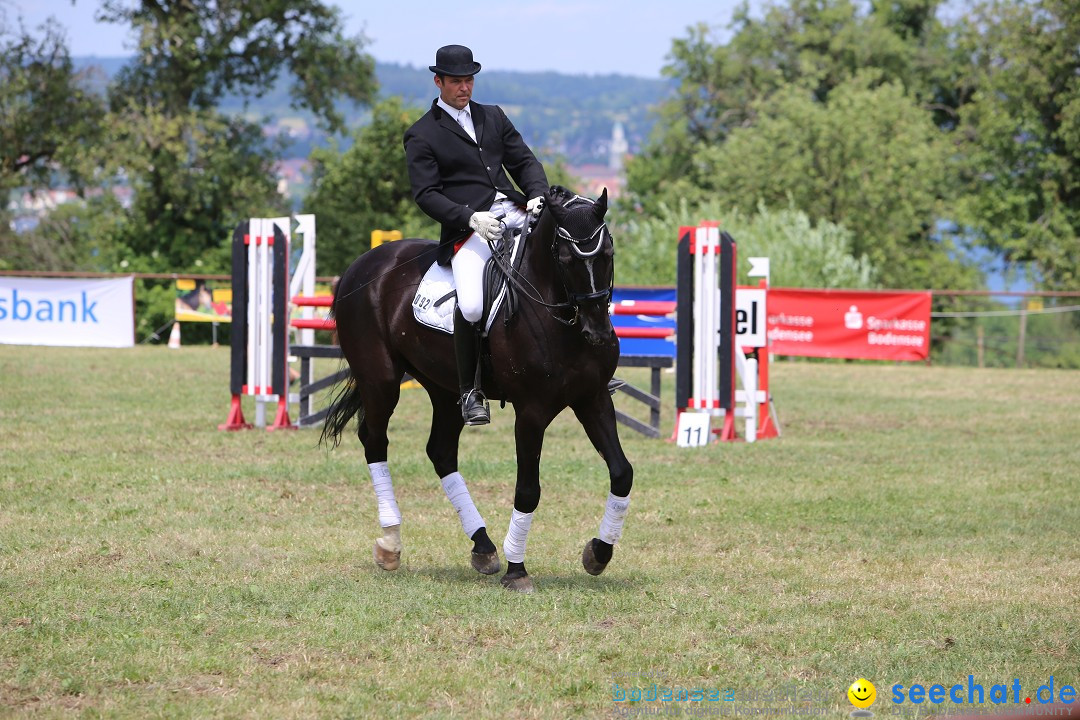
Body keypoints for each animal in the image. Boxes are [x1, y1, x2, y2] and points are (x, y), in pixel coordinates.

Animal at [317, 184, 630, 591]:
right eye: (564, 257)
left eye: (607, 253)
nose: (597, 333)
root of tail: (362, 265)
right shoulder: (531, 412)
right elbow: (528, 490)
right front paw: (517, 571)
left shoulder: (592, 399)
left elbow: (622, 472)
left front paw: (598, 553)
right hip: (380, 380)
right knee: (375, 441)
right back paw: (390, 543)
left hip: (446, 390)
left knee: (440, 451)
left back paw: (483, 546)